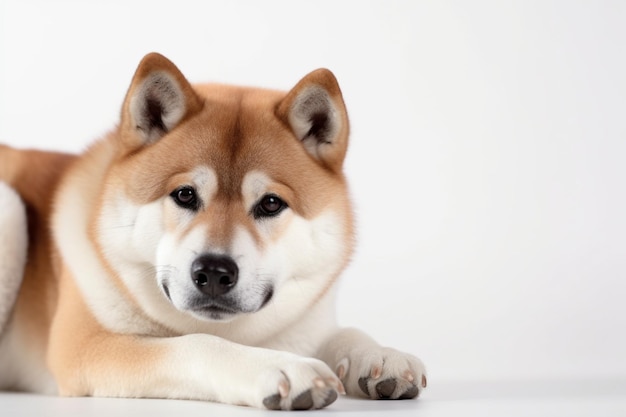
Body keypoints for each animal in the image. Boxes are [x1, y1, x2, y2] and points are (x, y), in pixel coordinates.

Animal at [0, 54, 424, 410]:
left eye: (271, 203)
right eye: (185, 194)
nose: (215, 272)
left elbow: (341, 332)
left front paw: (380, 355)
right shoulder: (87, 346)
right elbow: (199, 344)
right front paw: (280, 368)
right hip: (10, 209)